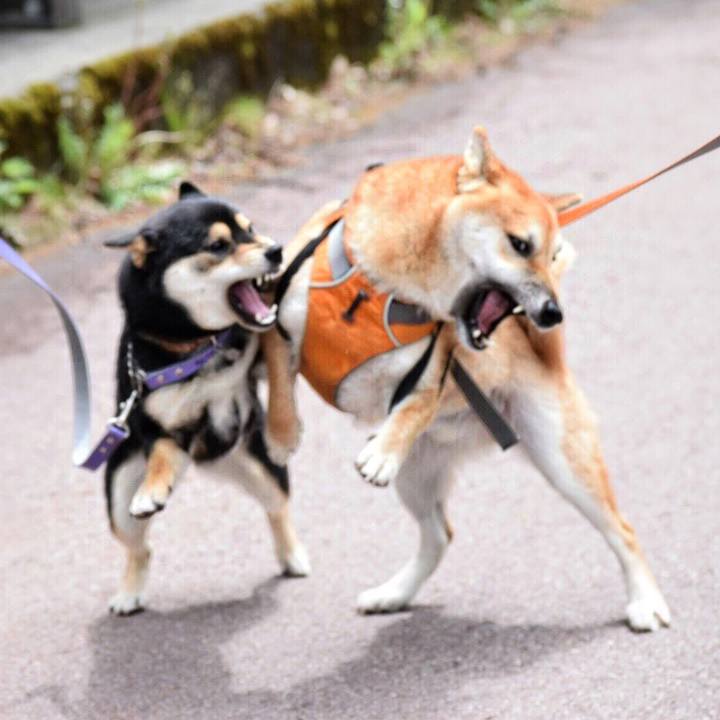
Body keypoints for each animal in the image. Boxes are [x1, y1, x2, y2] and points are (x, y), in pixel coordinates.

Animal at [103, 182, 310, 615]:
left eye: (251, 229)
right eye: (218, 246)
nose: (277, 249)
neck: (202, 344)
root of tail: (206, 461)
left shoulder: (268, 338)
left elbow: (278, 371)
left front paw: (283, 431)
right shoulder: (160, 426)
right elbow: (161, 457)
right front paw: (152, 490)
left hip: (261, 469)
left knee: (277, 507)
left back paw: (292, 555)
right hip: (117, 495)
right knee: (140, 548)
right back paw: (128, 592)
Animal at [261, 127, 671, 631]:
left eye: (552, 253)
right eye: (521, 245)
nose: (553, 312)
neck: (381, 288)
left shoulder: (432, 366)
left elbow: (414, 406)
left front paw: (382, 450)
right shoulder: (276, 320)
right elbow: (280, 382)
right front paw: (281, 435)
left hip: (562, 460)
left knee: (623, 529)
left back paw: (645, 602)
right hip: (418, 476)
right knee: (439, 535)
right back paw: (393, 594)